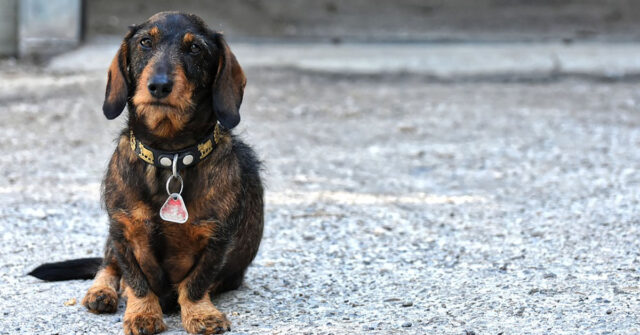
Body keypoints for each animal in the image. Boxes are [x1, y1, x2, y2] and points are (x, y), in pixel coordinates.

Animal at [28, 11, 264, 334]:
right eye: (145, 42)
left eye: (195, 49)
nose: (159, 85)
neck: (170, 156)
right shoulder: (122, 231)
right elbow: (135, 279)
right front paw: (142, 312)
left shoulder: (216, 238)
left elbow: (196, 282)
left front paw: (200, 314)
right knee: (107, 266)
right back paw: (101, 292)